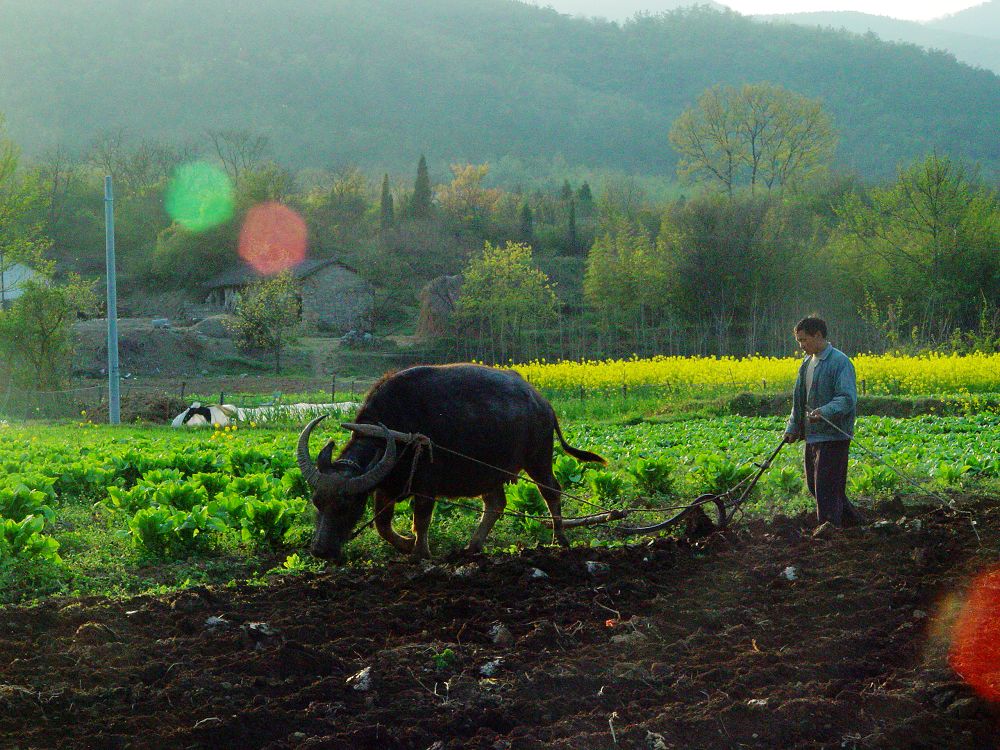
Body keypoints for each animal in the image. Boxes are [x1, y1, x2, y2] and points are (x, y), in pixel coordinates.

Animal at [292, 364, 604, 564]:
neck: (398, 432)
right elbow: (382, 524)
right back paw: (473, 546)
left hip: (538, 458)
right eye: (316, 502)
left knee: (551, 491)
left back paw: (560, 538)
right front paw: (406, 544)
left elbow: (421, 519)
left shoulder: (426, 486)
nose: (319, 550)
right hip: (489, 472)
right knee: (495, 503)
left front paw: (420, 553)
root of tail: (544, 404)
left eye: (346, 506)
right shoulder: (386, 487)